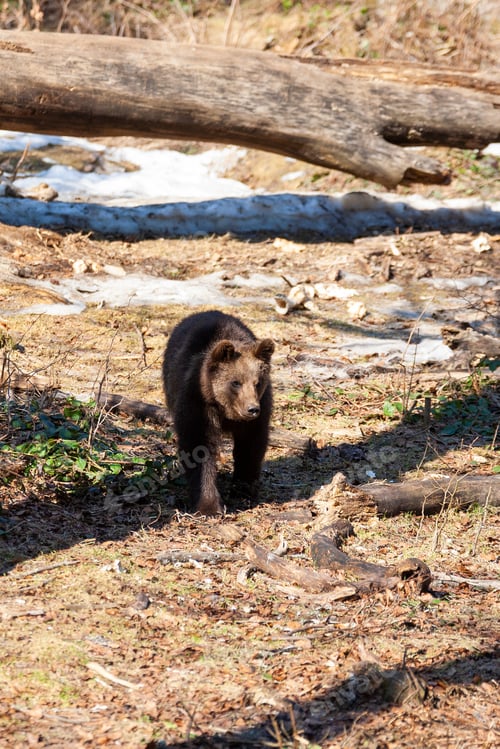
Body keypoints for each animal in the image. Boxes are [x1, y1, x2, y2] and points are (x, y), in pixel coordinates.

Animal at [163, 310, 274, 516]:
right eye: (236, 382)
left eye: (258, 382)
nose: (252, 409)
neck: (226, 410)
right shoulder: (198, 405)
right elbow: (199, 447)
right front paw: (209, 505)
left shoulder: (259, 412)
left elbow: (251, 446)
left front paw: (243, 490)